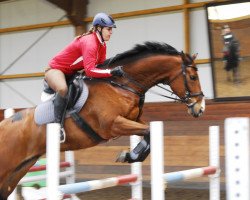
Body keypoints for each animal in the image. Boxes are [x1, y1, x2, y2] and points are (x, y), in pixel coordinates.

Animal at [0, 41, 205, 199]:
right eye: (193, 77)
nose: (200, 108)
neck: (121, 85)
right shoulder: (113, 125)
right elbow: (148, 132)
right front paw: (129, 155)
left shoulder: (133, 119)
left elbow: (148, 133)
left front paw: (131, 156)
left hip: (16, 173)